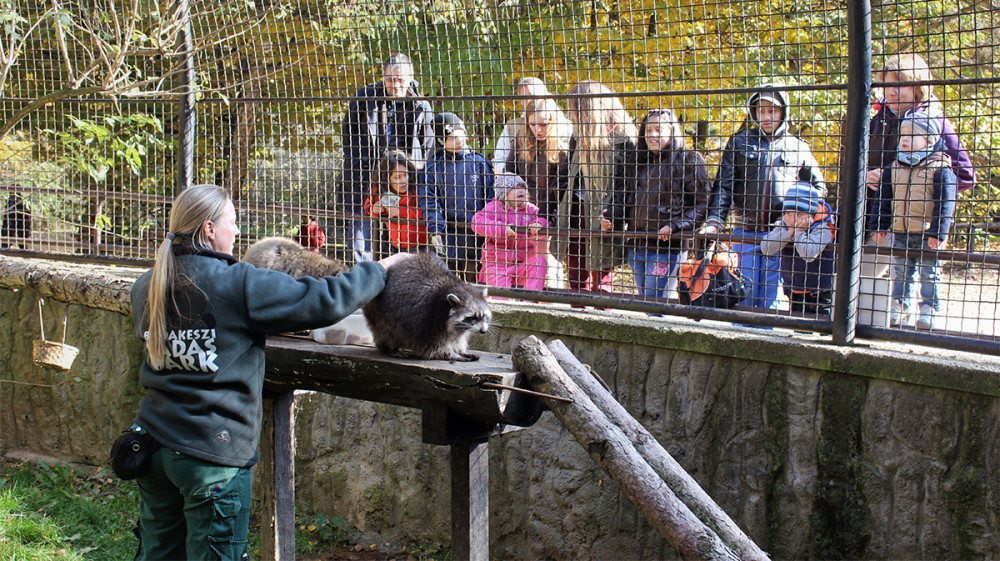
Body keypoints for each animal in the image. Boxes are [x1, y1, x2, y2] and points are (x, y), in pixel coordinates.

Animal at [366, 253, 494, 360]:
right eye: (472, 317)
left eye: (484, 316)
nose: (483, 331)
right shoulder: (428, 320)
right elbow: (432, 349)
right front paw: (453, 354)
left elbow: (457, 339)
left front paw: (460, 350)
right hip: (379, 314)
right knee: (387, 331)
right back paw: (390, 348)